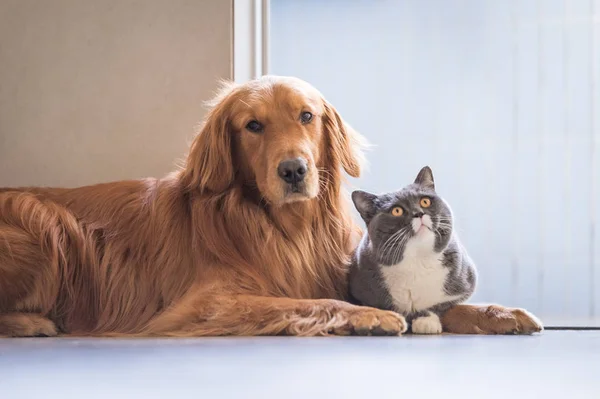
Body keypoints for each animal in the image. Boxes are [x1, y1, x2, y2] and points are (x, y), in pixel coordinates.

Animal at [350, 166, 476, 334]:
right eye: (396, 210)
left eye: (425, 201)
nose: (419, 213)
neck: (416, 259)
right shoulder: (360, 287)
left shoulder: (464, 282)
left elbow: (439, 304)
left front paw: (426, 322)